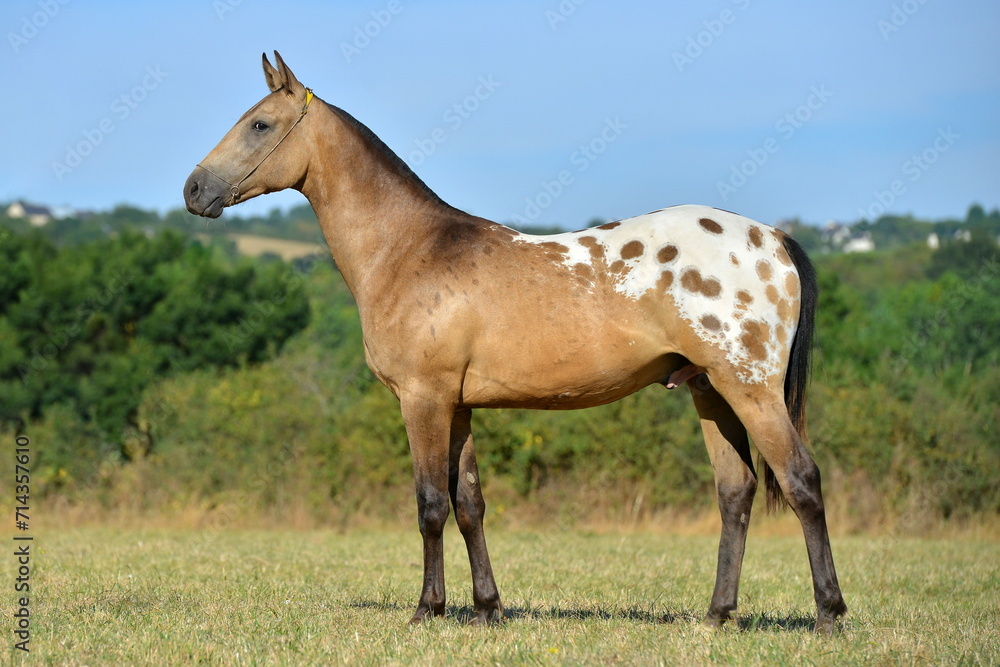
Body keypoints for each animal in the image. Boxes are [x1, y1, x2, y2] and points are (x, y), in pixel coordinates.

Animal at [184, 52, 847, 634]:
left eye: (259, 124)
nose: (194, 190)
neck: (409, 248)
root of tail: (774, 237)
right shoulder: (458, 405)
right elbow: (470, 504)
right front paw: (487, 609)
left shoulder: (423, 399)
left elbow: (430, 504)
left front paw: (427, 611)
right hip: (709, 390)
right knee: (736, 492)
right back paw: (717, 616)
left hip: (751, 389)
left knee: (802, 482)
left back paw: (828, 616)